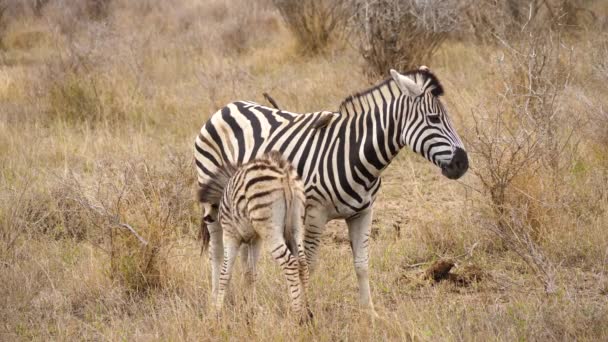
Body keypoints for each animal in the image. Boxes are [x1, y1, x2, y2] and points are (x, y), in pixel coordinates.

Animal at [200, 151, 312, 322]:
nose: (206, 219)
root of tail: (283, 170)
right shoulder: (255, 239)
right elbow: (250, 273)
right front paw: (250, 310)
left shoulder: (230, 234)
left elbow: (225, 272)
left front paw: (218, 311)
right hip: (297, 225)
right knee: (303, 264)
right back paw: (308, 312)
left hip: (270, 229)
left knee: (290, 263)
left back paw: (298, 315)